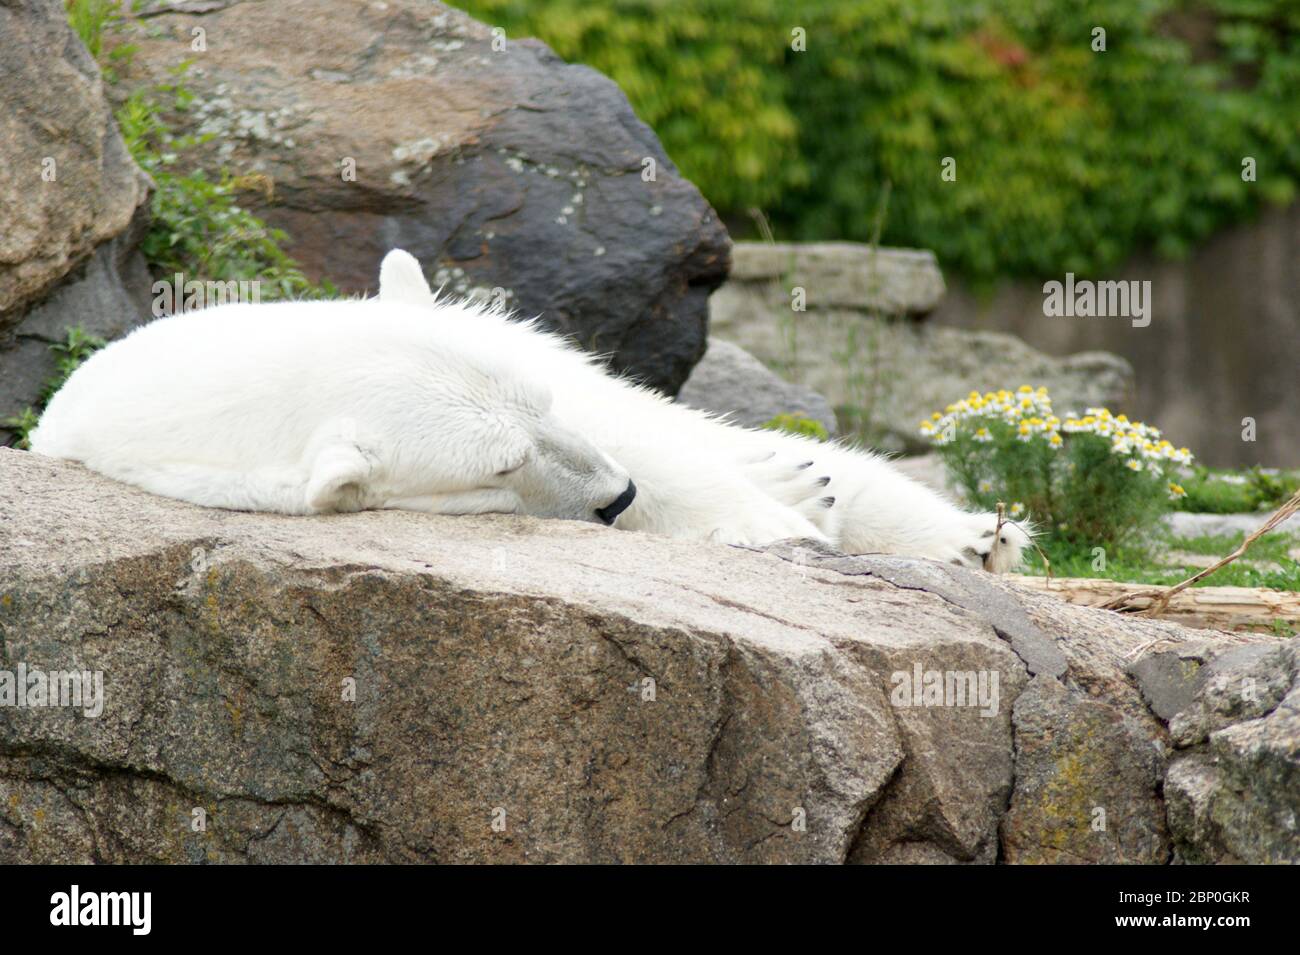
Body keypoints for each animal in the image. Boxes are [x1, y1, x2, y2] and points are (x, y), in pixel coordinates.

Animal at [25, 250, 1029, 571]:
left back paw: (970, 534)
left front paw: (782, 513)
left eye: (538, 413)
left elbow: (654, 439)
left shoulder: (561, 386)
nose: (617, 498)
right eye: (501, 465)